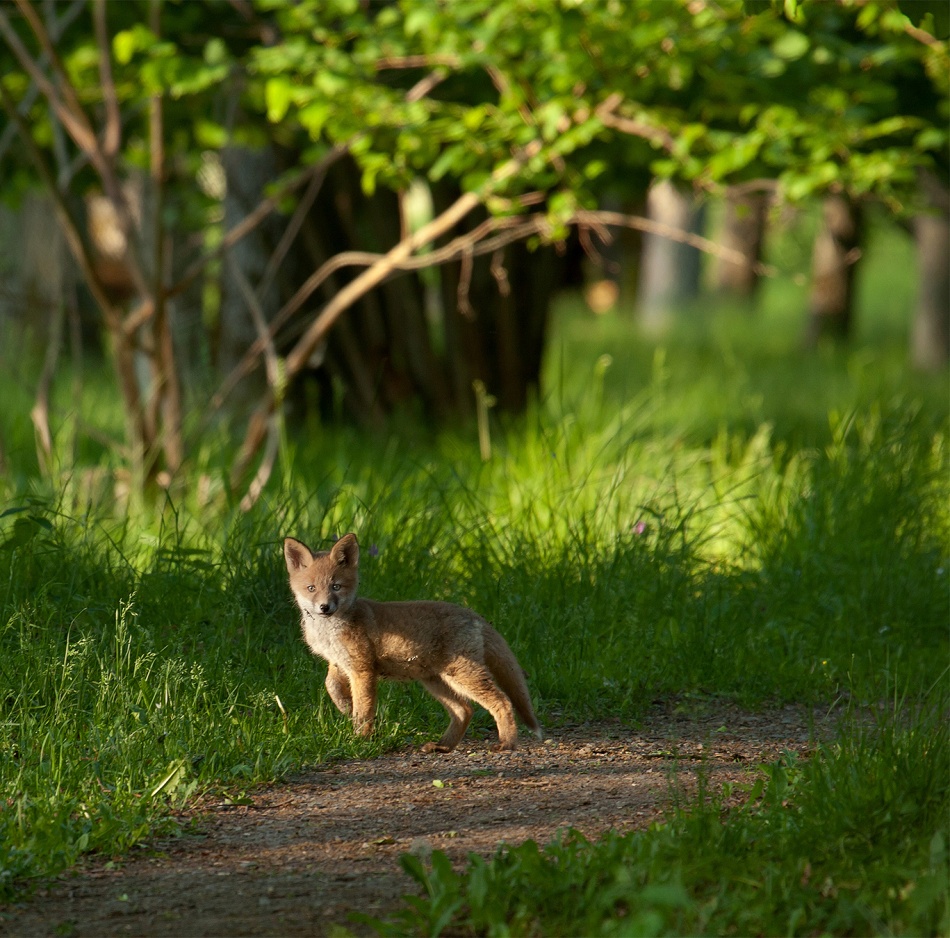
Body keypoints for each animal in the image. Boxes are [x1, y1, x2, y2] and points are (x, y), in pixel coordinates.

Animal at [284, 533, 542, 752]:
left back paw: (507, 743)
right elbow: (331, 687)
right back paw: (443, 746)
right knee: (465, 710)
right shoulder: (339, 663)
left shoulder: (362, 669)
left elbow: (364, 710)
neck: (330, 632)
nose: (325, 607)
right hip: (436, 681)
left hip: (463, 675)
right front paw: (345, 707)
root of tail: (472, 613)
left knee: (502, 701)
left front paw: (360, 740)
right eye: (311, 588)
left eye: (336, 587)